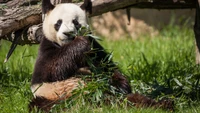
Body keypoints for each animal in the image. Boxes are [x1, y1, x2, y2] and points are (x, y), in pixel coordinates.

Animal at [28, 0, 174, 111]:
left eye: (76, 22)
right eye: (58, 23)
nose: (68, 33)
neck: (66, 44)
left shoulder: (96, 50)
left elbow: (109, 68)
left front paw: (120, 84)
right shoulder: (46, 50)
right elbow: (53, 68)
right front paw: (80, 43)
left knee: (135, 99)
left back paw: (164, 104)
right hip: (53, 97)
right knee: (46, 105)